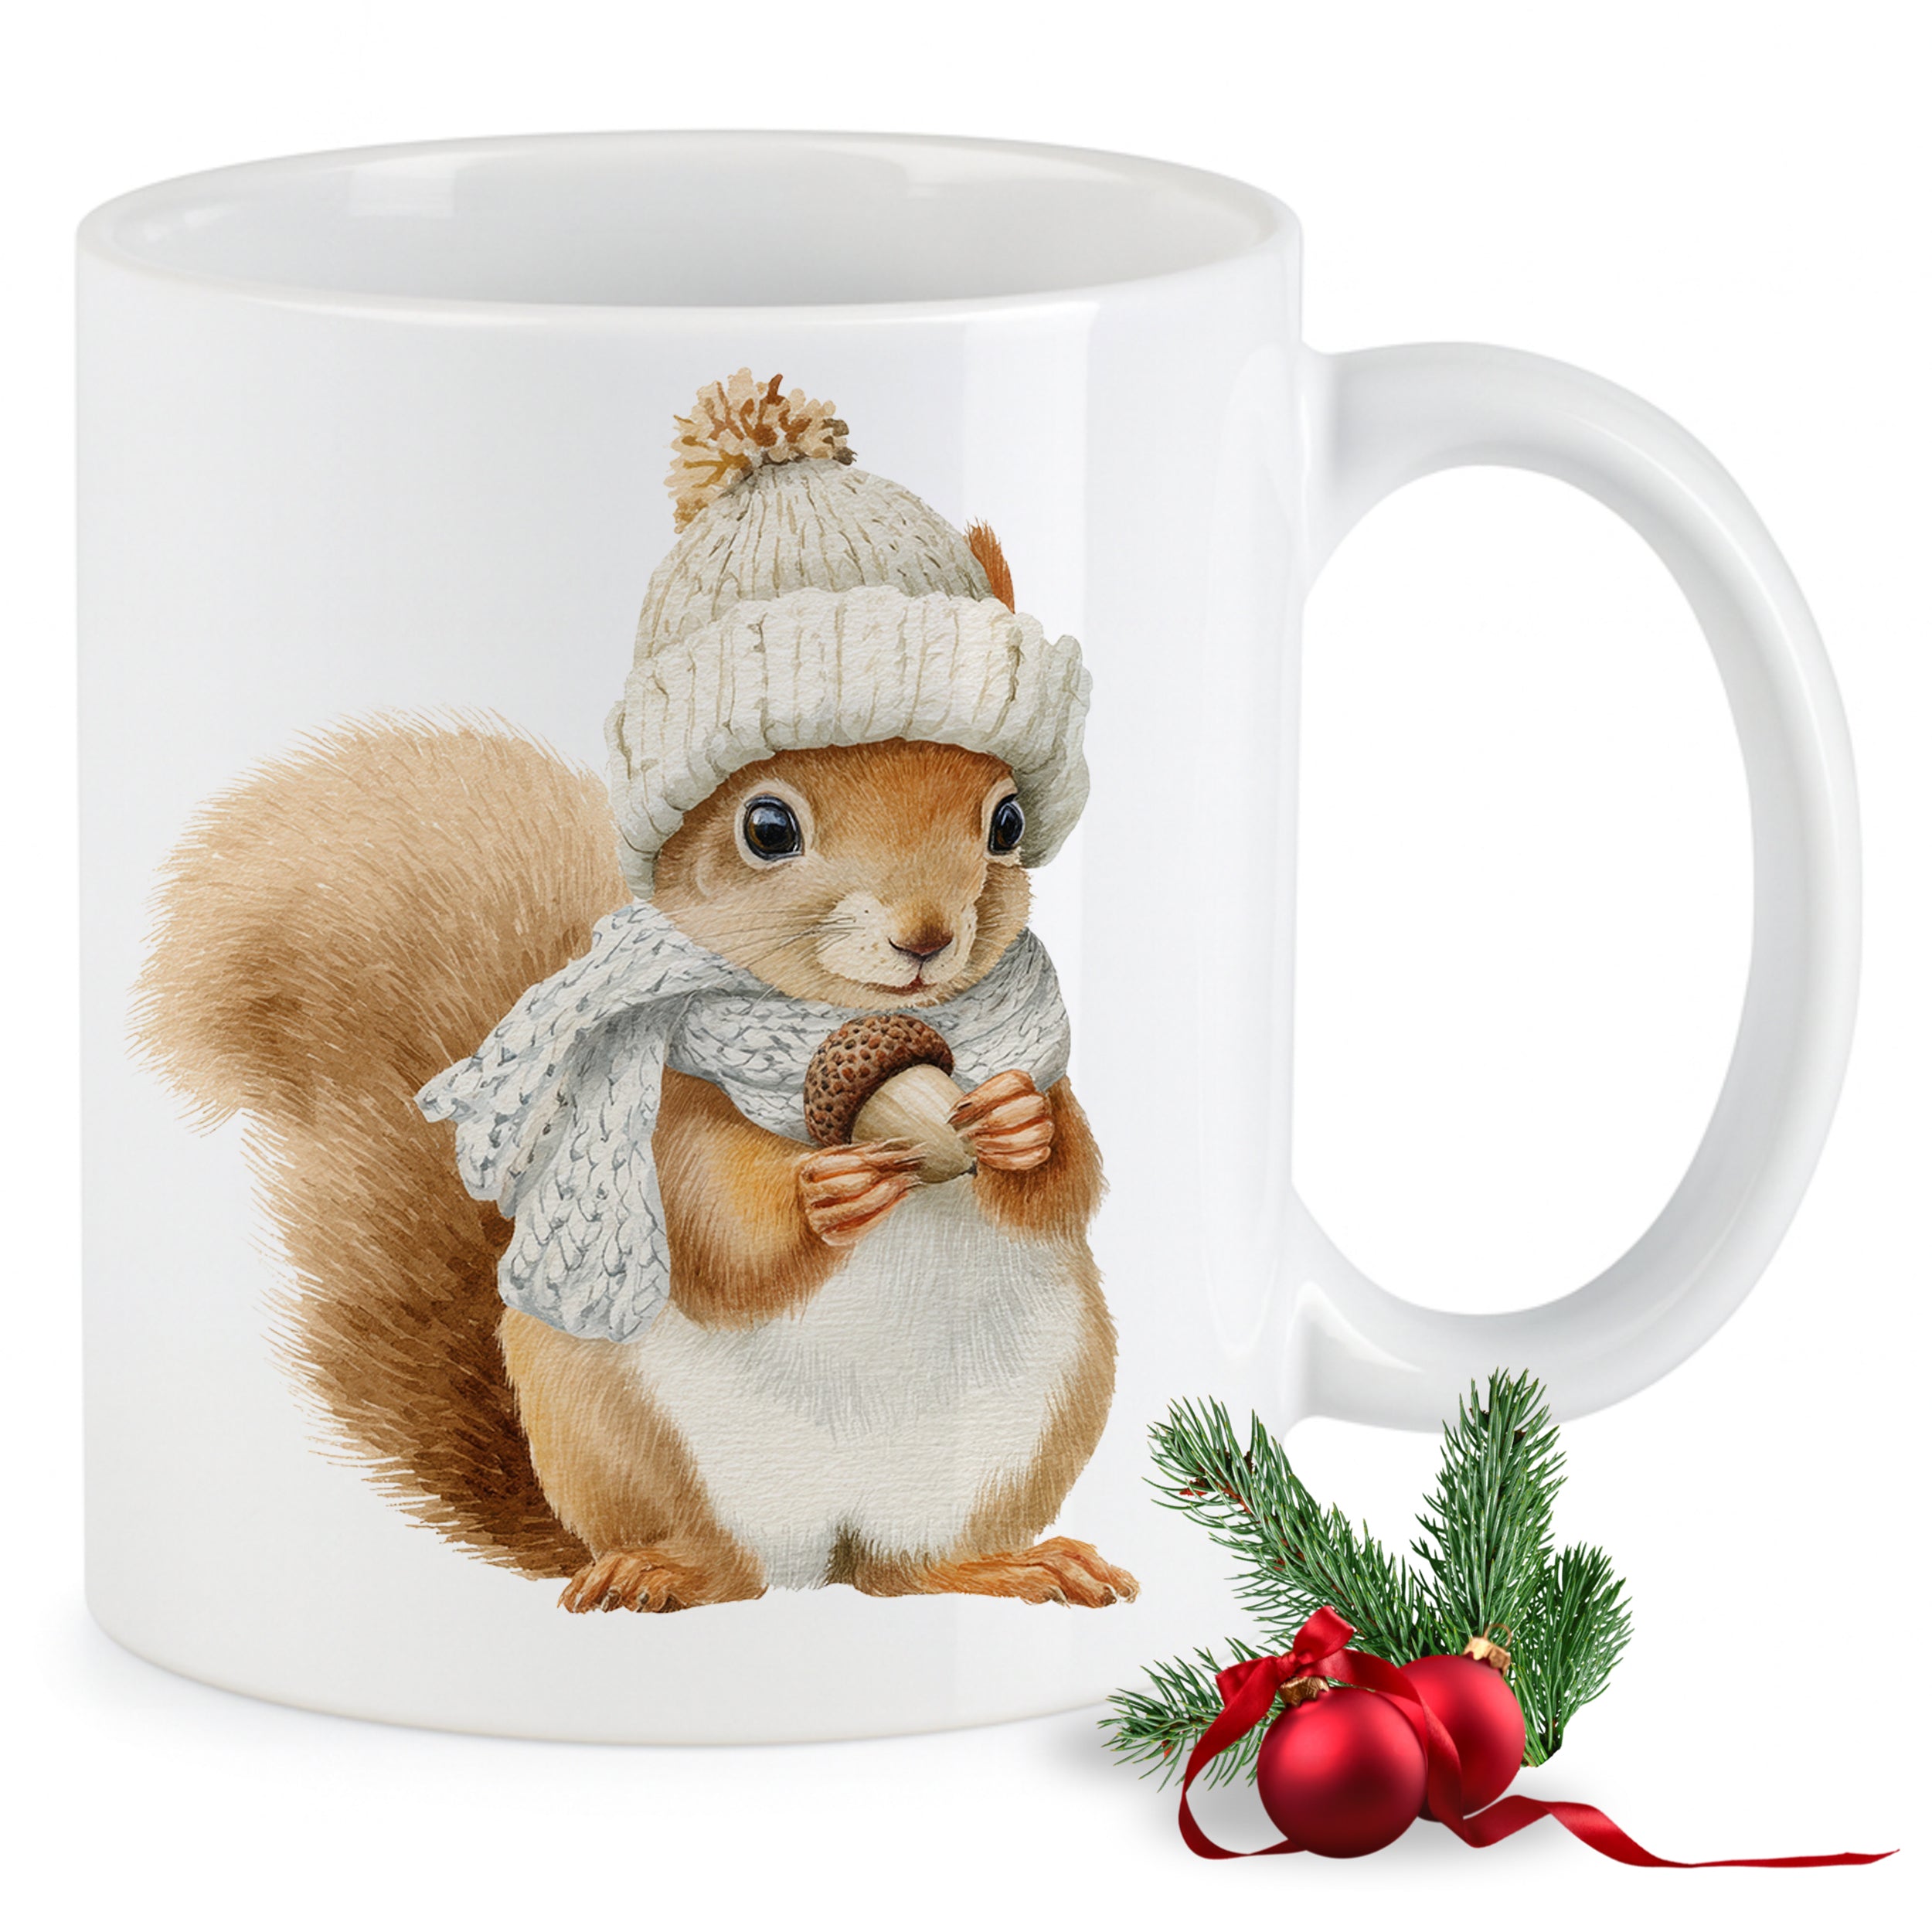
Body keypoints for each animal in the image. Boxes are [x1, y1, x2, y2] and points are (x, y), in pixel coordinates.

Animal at [135, 371, 1138, 1617]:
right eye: (768, 827)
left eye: (1005, 820)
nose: (926, 936)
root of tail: (821, 1551)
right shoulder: (677, 1099)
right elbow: (712, 1224)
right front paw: (821, 1192)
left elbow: (1072, 1178)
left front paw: (1018, 1123)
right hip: (620, 1427)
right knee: (725, 1563)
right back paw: (658, 1572)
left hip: (1018, 1424)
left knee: (907, 1572)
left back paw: (1010, 1563)